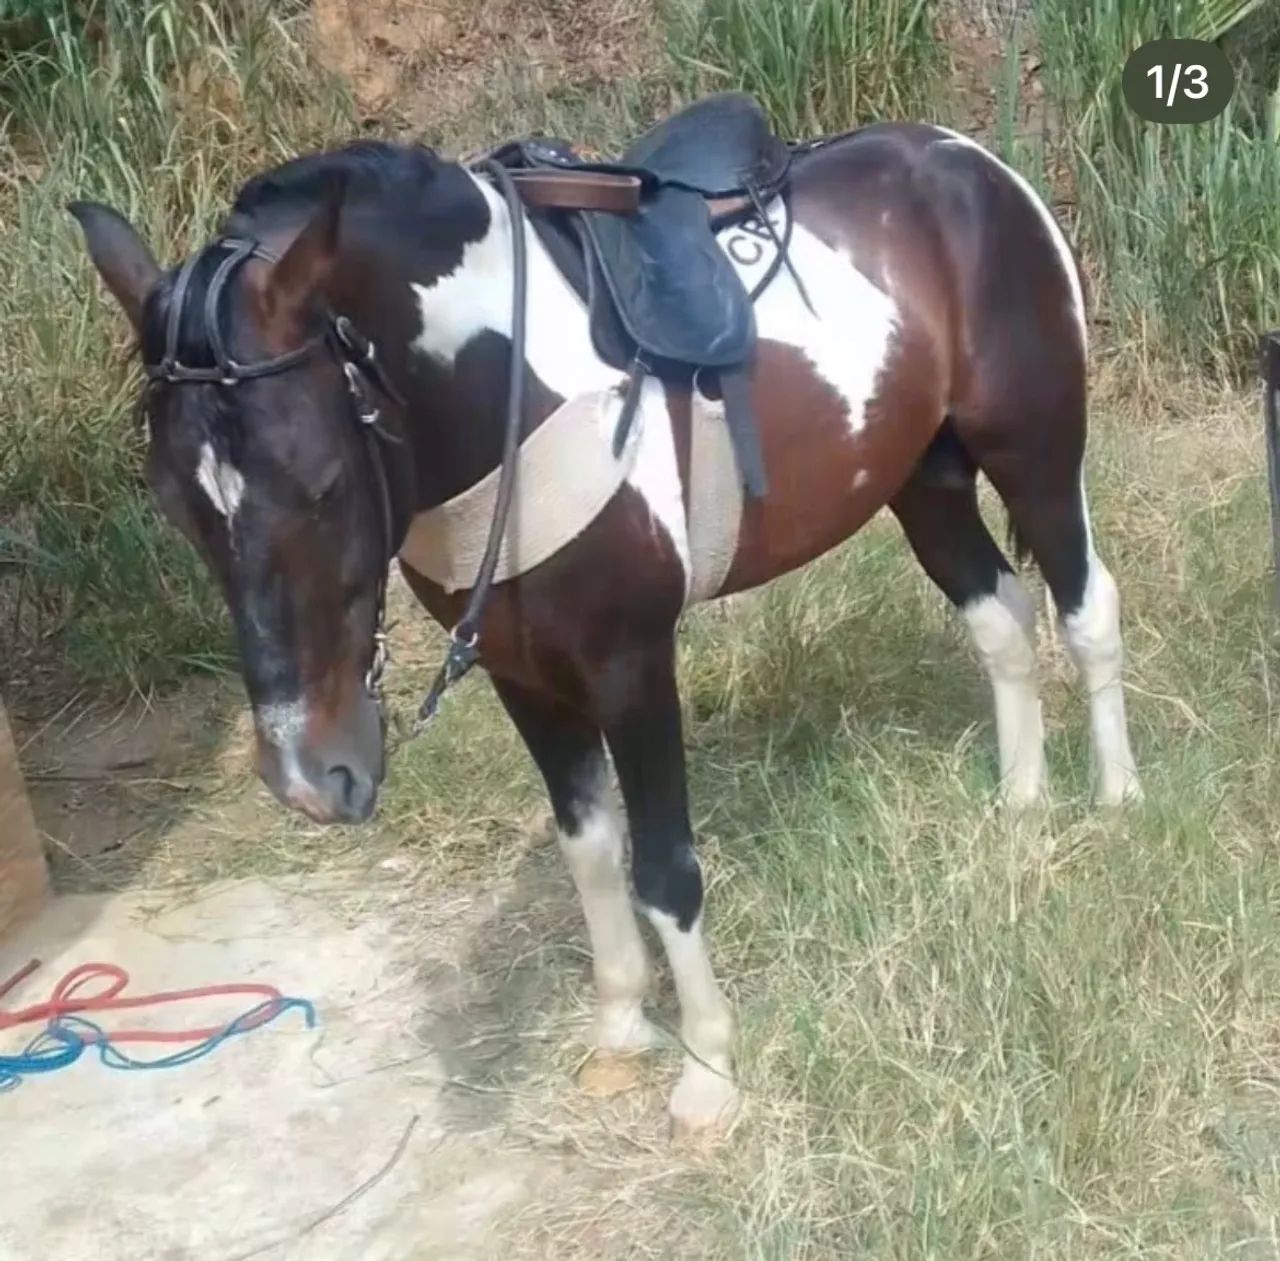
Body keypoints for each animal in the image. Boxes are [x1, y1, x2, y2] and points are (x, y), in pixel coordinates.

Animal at [69, 113, 1141, 1138]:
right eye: (177, 505)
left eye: (324, 481)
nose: (310, 778)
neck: (509, 393)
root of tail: (970, 165)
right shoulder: (522, 673)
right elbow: (589, 850)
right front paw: (623, 1029)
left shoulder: (630, 665)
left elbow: (665, 869)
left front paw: (708, 1073)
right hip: (924, 482)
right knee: (1000, 618)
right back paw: (1022, 802)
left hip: (1035, 452)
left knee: (1086, 609)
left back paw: (1117, 798)